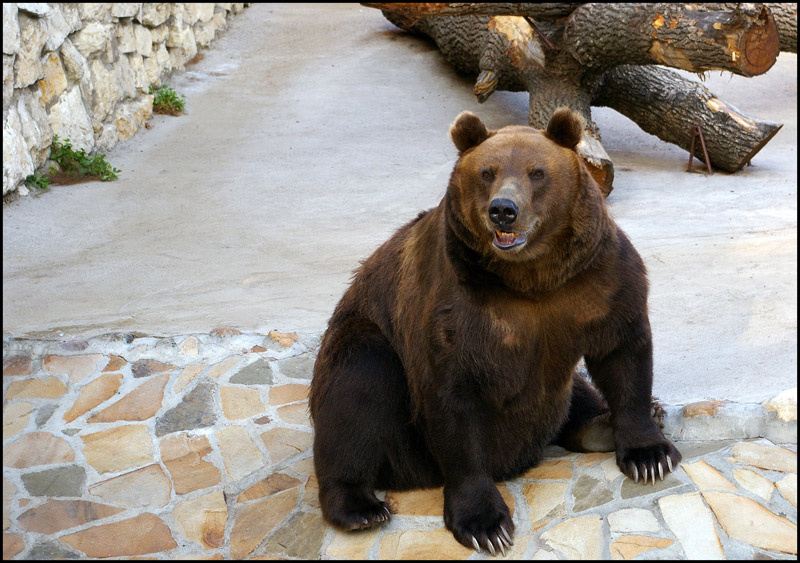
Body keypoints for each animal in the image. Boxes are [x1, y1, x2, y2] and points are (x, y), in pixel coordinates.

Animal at [308, 107, 682, 555]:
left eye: (537, 172)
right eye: (486, 172)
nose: (503, 209)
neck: (533, 275)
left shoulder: (596, 277)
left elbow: (622, 348)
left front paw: (649, 453)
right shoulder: (458, 307)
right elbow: (455, 398)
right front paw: (485, 524)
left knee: (573, 390)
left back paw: (603, 424)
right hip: (373, 353)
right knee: (357, 386)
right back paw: (360, 507)